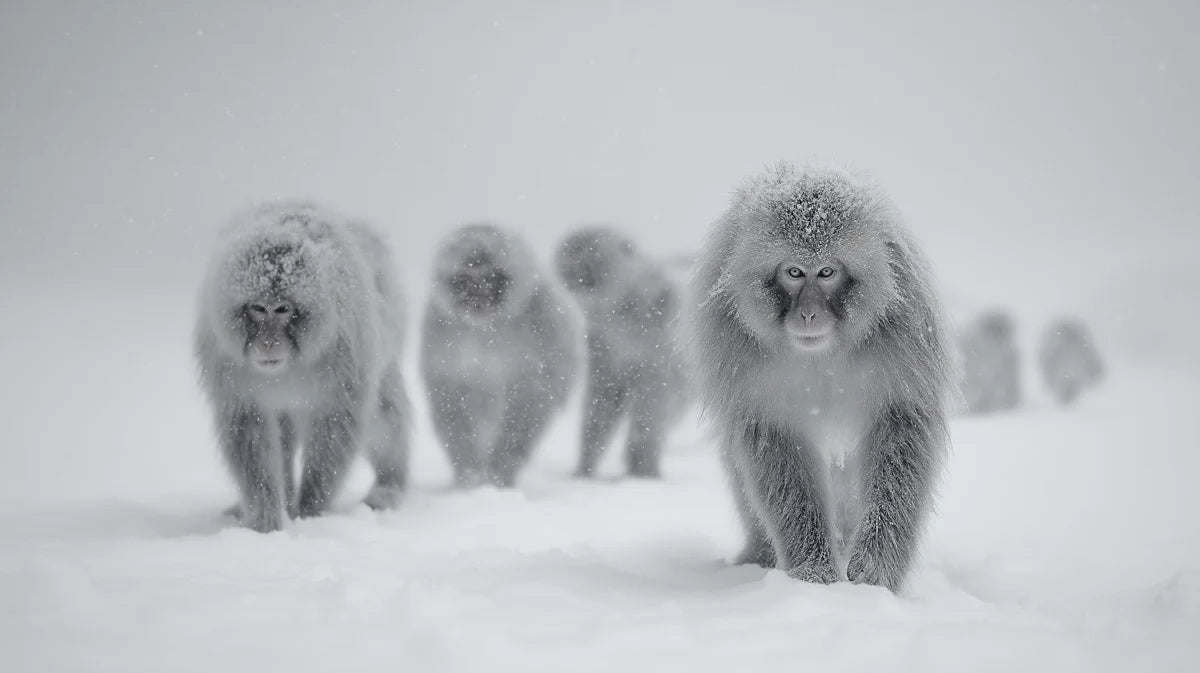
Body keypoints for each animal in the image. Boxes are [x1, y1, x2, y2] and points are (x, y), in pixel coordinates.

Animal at [194, 201, 410, 532]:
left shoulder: (344, 348)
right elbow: (249, 425)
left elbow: (336, 422)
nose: (268, 342)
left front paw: (311, 511)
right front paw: (267, 520)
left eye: (283, 309)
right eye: (259, 308)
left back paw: (389, 486)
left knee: (383, 414)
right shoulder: (225, 357)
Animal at [421, 224, 580, 488]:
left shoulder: (544, 323)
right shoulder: (438, 330)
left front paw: (499, 470)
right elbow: (451, 392)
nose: (478, 299)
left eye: (491, 279)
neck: (487, 329)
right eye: (465, 281)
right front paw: (469, 473)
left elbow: (529, 396)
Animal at [555, 227, 689, 479]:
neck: (624, 305)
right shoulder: (601, 341)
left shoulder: (658, 340)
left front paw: (643, 466)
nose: (571, 265)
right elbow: (605, 396)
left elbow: (652, 398)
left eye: (588, 251)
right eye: (571, 250)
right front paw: (585, 467)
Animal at [689, 163, 953, 591]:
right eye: (794, 272)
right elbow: (777, 446)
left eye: (827, 272)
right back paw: (760, 553)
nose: (809, 313)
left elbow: (900, 430)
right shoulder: (740, 361)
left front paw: (874, 568)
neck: (821, 357)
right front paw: (813, 571)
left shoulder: (904, 336)